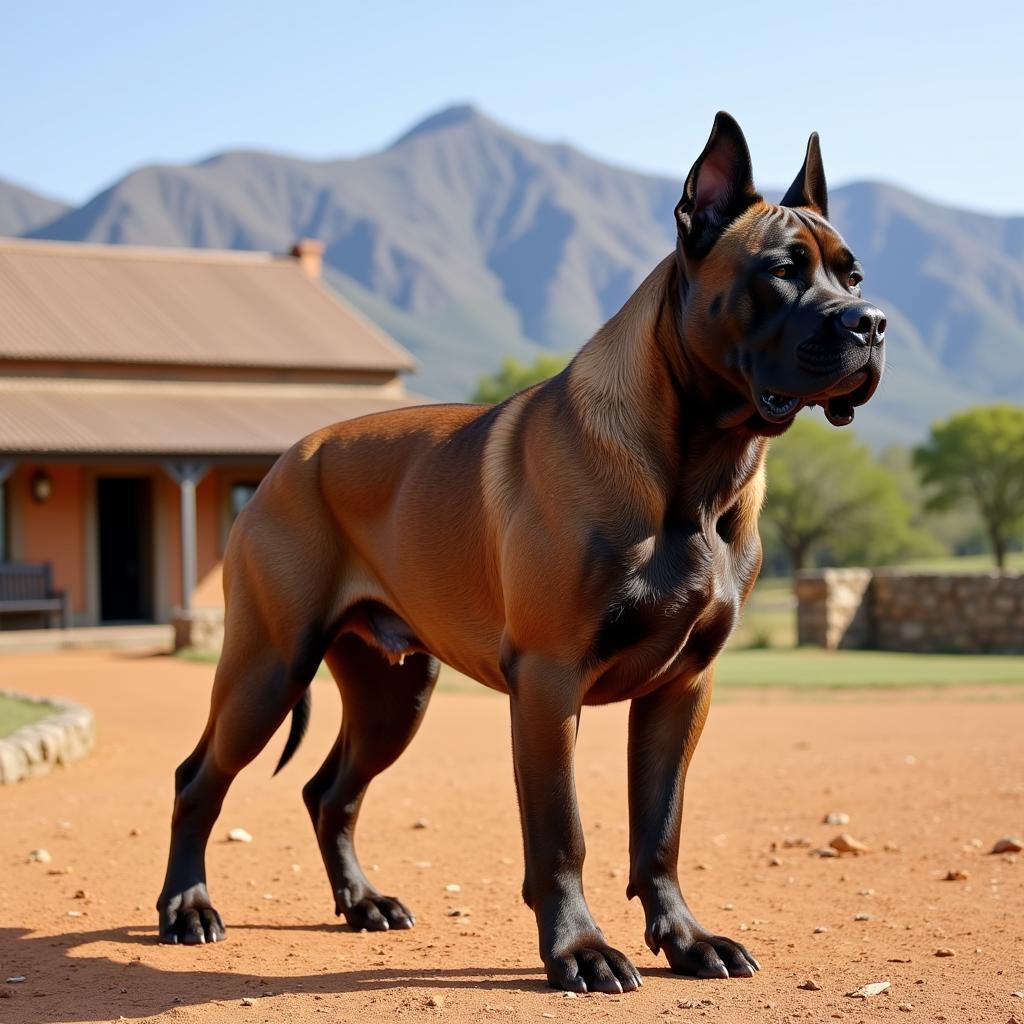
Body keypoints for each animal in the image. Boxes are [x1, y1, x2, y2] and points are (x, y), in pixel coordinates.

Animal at [155, 112, 884, 991]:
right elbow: (561, 832)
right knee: (199, 779)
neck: (699, 467)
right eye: (782, 271)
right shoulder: (547, 680)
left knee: (330, 792)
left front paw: (686, 940)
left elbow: (661, 830)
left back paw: (363, 903)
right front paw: (580, 950)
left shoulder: (683, 688)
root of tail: (284, 462)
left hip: (393, 694)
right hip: (268, 665)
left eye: (852, 274)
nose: (871, 322)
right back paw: (187, 908)